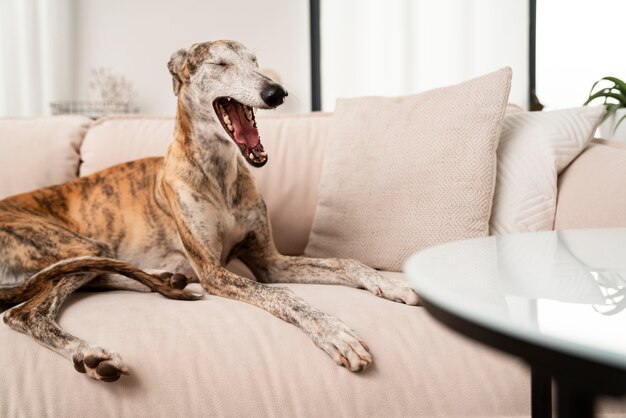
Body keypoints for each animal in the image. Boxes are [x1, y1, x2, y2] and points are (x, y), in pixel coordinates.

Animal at [1, 40, 420, 382]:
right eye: (220, 64)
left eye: (255, 61)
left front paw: (392, 284)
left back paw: (168, 280)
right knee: (24, 311)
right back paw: (91, 354)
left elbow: (345, 262)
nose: (277, 92)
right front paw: (334, 333)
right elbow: (283, 296)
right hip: (77, 247)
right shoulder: (214, 270)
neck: (218, 172)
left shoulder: (270, 261)